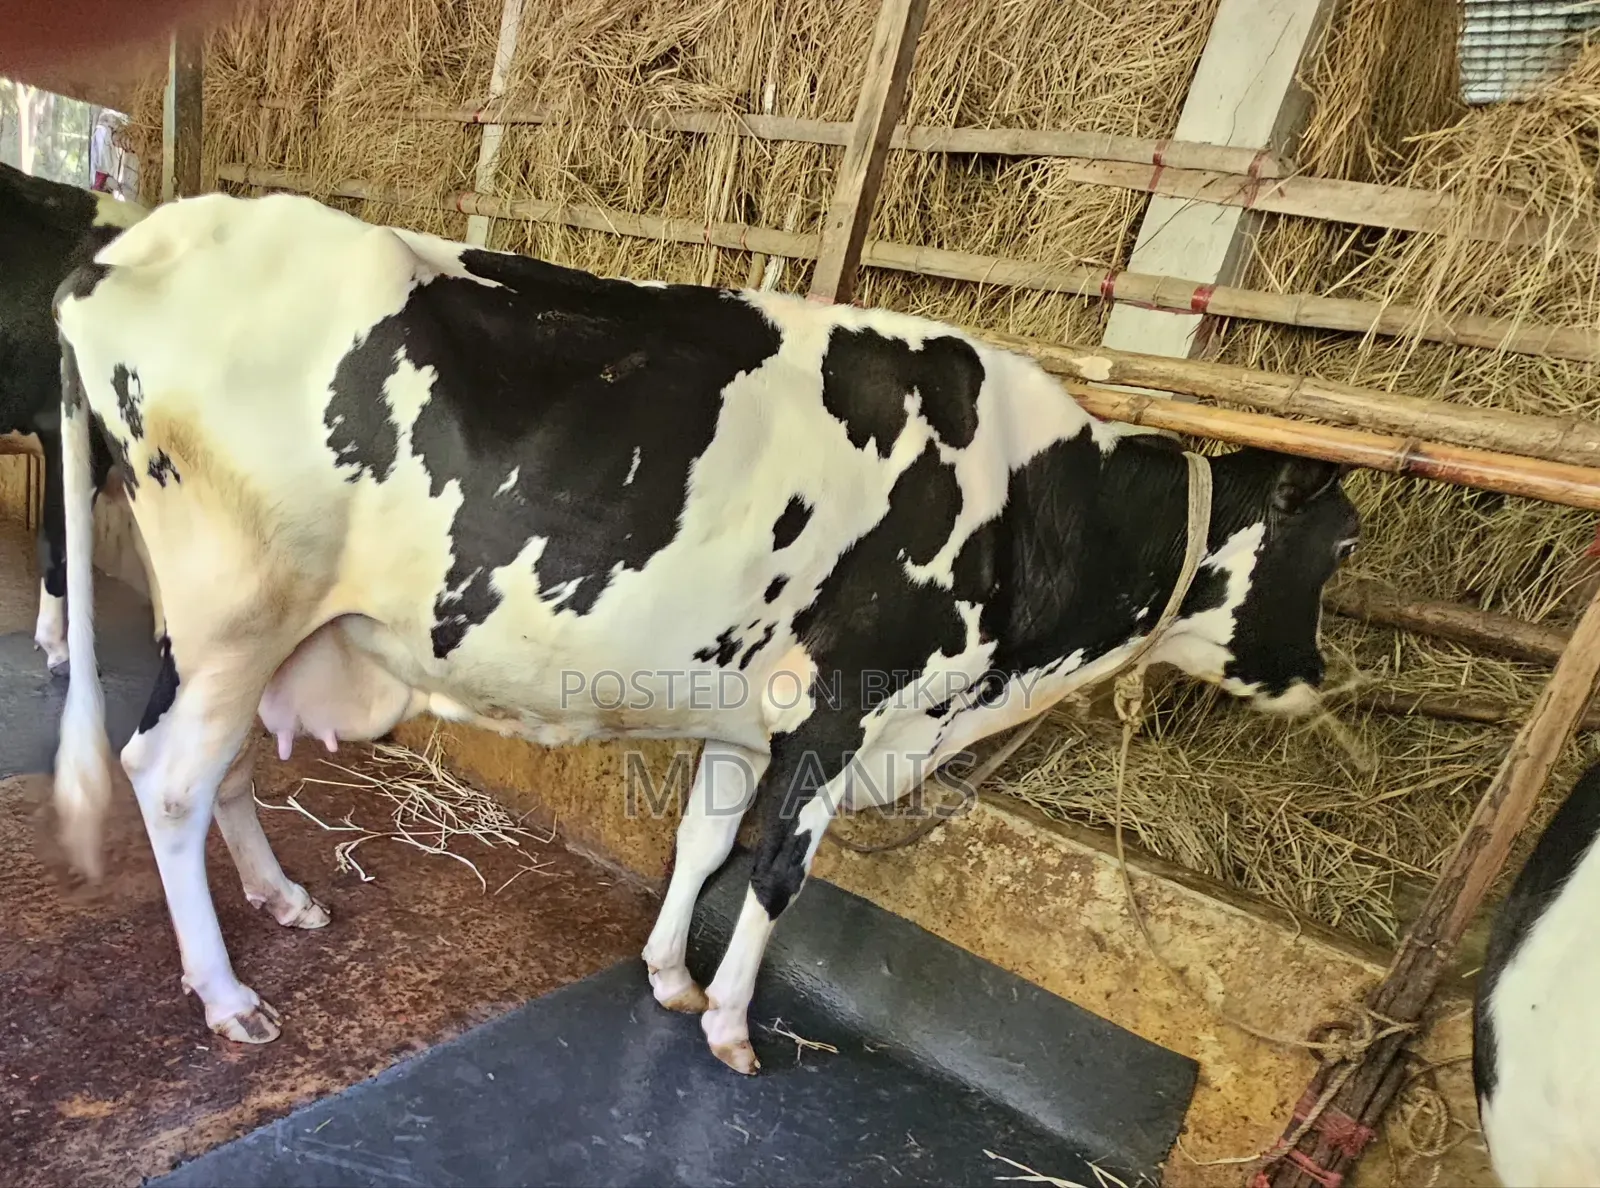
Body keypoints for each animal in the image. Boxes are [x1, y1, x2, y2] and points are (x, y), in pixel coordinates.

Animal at [50, 190, 1360, 1073]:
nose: (1317, 681)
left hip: (233, 630)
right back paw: (226, 995)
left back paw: (283, 900)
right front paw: (733, 1024)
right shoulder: (846, 705)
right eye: (1342, 547)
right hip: (239, 606)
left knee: (218, 767)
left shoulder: (747, 711)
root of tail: (136, 240)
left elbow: (703, 841)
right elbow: (778, 870)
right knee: (167, 777)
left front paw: (672, 976)